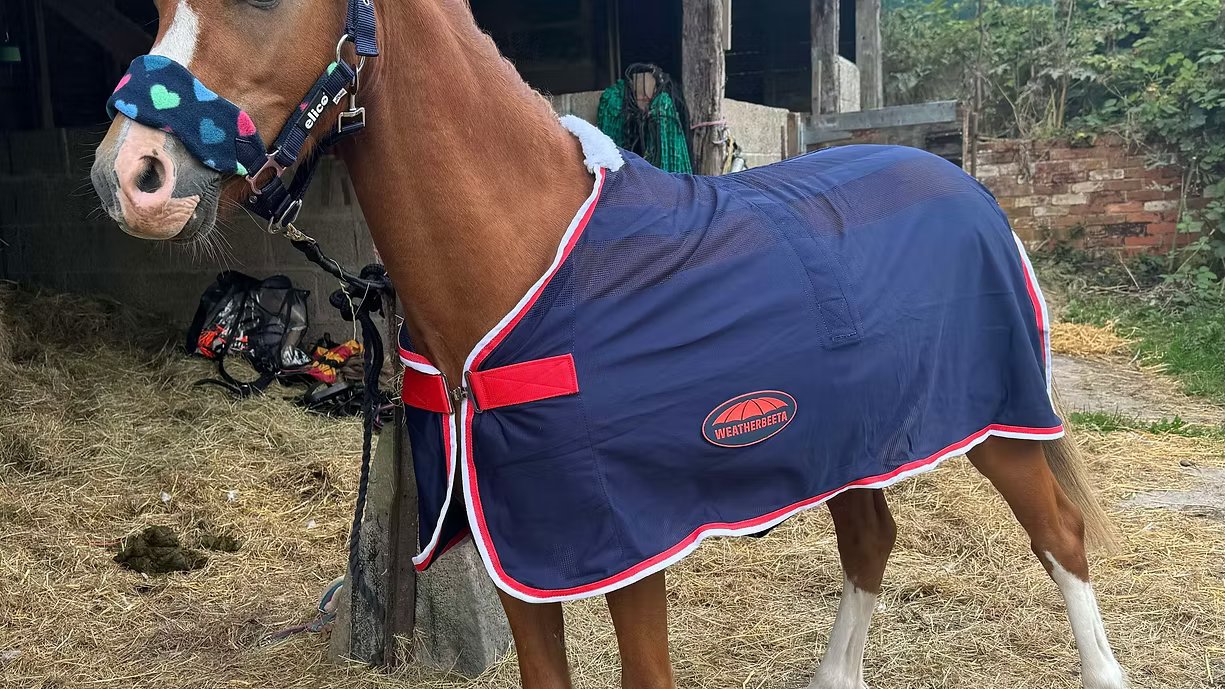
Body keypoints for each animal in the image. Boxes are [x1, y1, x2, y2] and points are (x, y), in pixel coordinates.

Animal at [89, 2, 1130, 688]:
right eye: (162, 4)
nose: (127, 177)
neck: (522, 258)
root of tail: (960, 182)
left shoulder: (625, 550)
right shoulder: (518, 552)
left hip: (1000, 424)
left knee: (1059, 539)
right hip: (848, 440)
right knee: (871, 539)